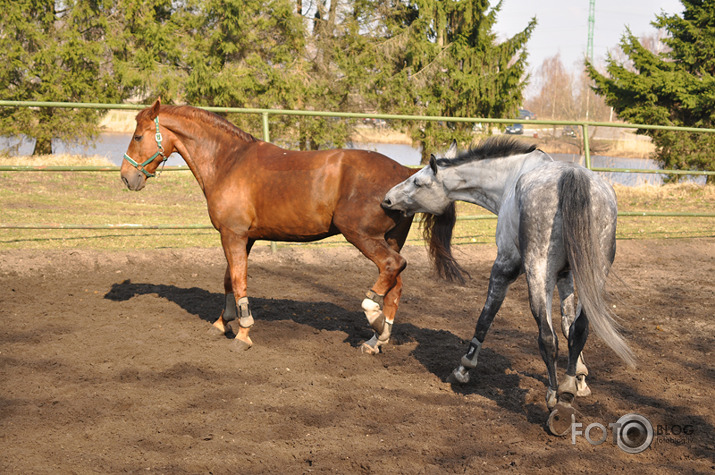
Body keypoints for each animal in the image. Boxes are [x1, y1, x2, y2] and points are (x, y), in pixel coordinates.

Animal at [121, 99, 420, 354]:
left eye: (138, 137)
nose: (126, 177)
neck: (227, 161)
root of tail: (404, 172)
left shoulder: (233, 235)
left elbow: (239, 281)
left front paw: (243, 334)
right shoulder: (244, 237)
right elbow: (229, 278)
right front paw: (222, 322)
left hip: (362, 236)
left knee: (392, 267)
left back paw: (374, 317)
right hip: (389, 239)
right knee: (395, 284)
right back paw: (376, 340)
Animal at [384, 137, 636, 436]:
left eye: (417, 182)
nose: (387, 200)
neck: (511, 176)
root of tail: (571, 177)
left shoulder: (504, 267)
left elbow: (486, 317)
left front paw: (463, 369)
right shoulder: (567, 276)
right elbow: (568, 325)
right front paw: (579, 378)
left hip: (538, 272)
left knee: (546, 337)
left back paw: (557, 402)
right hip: (592, 275)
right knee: (580, 328)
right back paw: (566, 392)